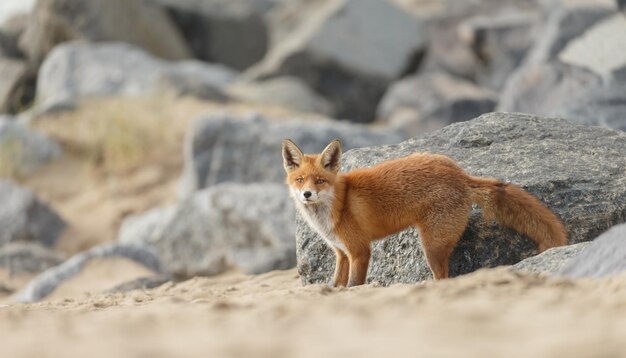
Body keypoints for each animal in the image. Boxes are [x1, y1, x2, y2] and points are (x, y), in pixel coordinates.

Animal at [282, 138, 564, 286]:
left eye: (320, 181)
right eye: (300, 180)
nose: (307, 195)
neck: (338, 207)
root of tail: (460, 175)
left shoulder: (360, 251)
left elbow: (354, 285)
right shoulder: (341, 253)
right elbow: (336, 285)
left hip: (432, 247)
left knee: (443, 278)